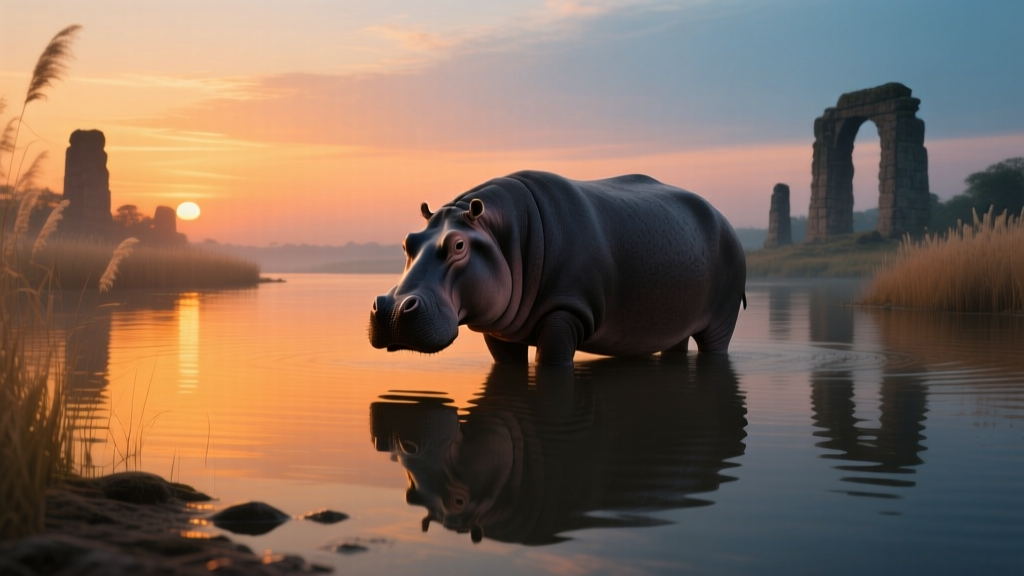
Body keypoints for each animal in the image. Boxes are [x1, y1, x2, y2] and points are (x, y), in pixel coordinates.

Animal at [369, 170, 746, 365]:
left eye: (458, 245)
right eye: (408, 241)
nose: (392, 309)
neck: (504, 235)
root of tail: (726, 219)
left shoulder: (565, 313)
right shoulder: (501, 333)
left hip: (722, 317)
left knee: (715, 346)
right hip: (676, 320)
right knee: (675, 344)